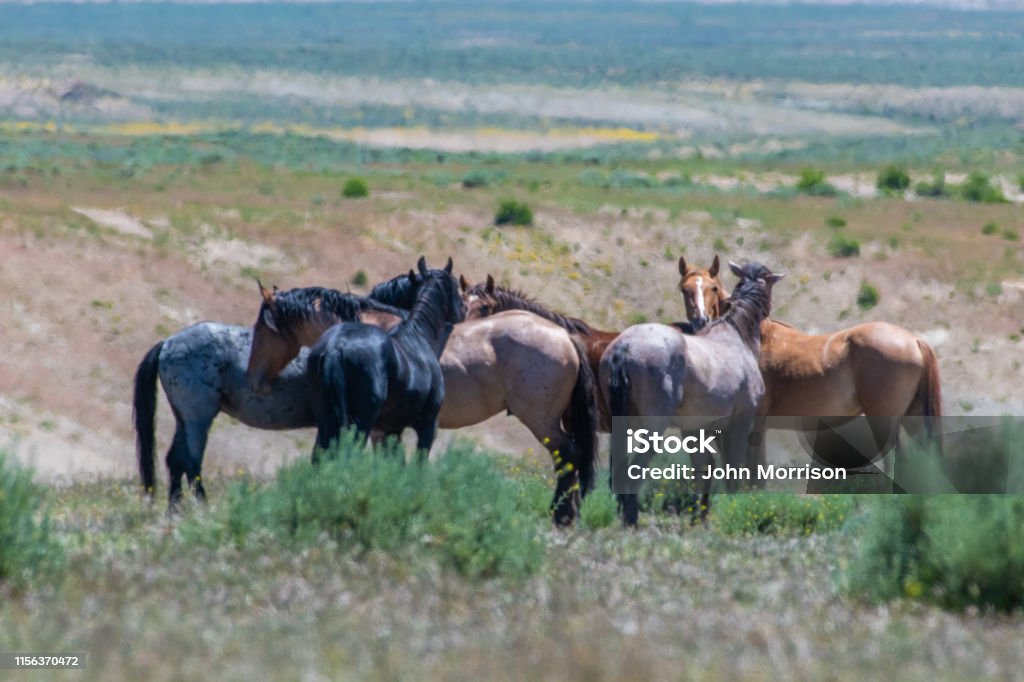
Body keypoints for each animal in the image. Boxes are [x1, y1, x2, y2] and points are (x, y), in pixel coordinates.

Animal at [598, 262, 782, 522]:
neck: (736, 336)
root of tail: (624, 348)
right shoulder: (739, 424)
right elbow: (733, 472)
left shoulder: (695, 430)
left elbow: (704, 469)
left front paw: (699, 516)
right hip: (653, 429)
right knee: (633, 474)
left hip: (622, 427)